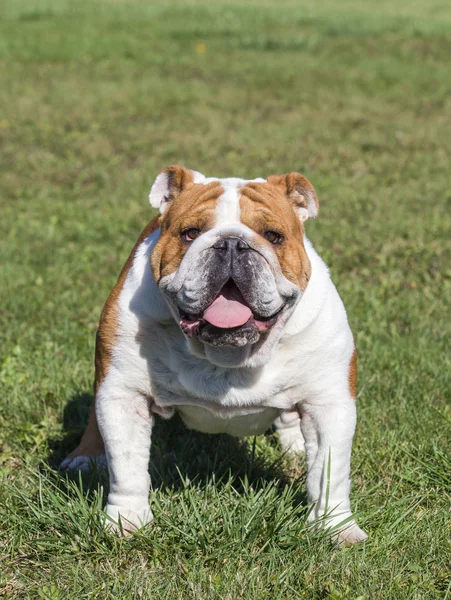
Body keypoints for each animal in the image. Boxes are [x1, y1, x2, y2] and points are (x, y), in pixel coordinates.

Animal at [61, 166, 370, 548]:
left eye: (273, 236)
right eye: (190, 233)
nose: (232, 244)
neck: (229, 354)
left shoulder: (329, 403)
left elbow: (330, 471)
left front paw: (336, 528)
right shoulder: (123, 393)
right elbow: (127, 466)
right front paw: (127, 521)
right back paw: (85, 457)